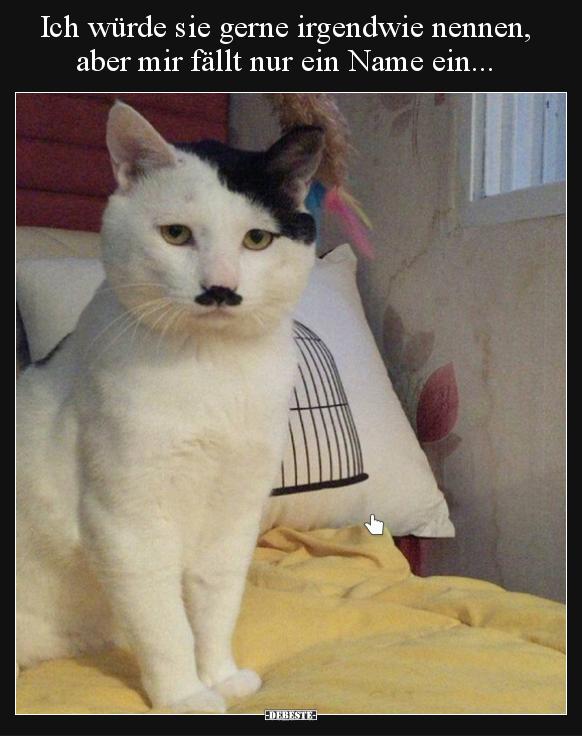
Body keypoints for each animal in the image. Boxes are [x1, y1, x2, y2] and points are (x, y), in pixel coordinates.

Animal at [16, 101, 323, 713]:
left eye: (257, 239)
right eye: (176, 234)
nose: (220, 289)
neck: (212, 373)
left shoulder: (233, 516)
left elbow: (215, 607)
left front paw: (221, 677)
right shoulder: (127, 525)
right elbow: (164, 625)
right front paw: (185, 696)